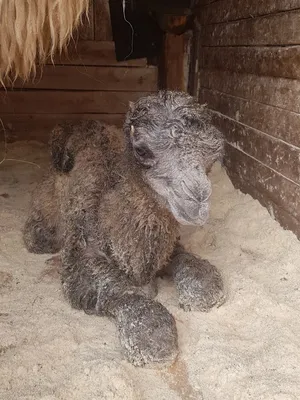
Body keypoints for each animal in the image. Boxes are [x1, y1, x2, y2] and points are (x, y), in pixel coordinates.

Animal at [22, 90, 225, 366]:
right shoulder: (81, 253)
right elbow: (119, 290)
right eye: (142, 150)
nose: (197, 198)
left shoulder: (167, 247)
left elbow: (202, 279)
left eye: (215, 151)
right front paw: (152, 340)